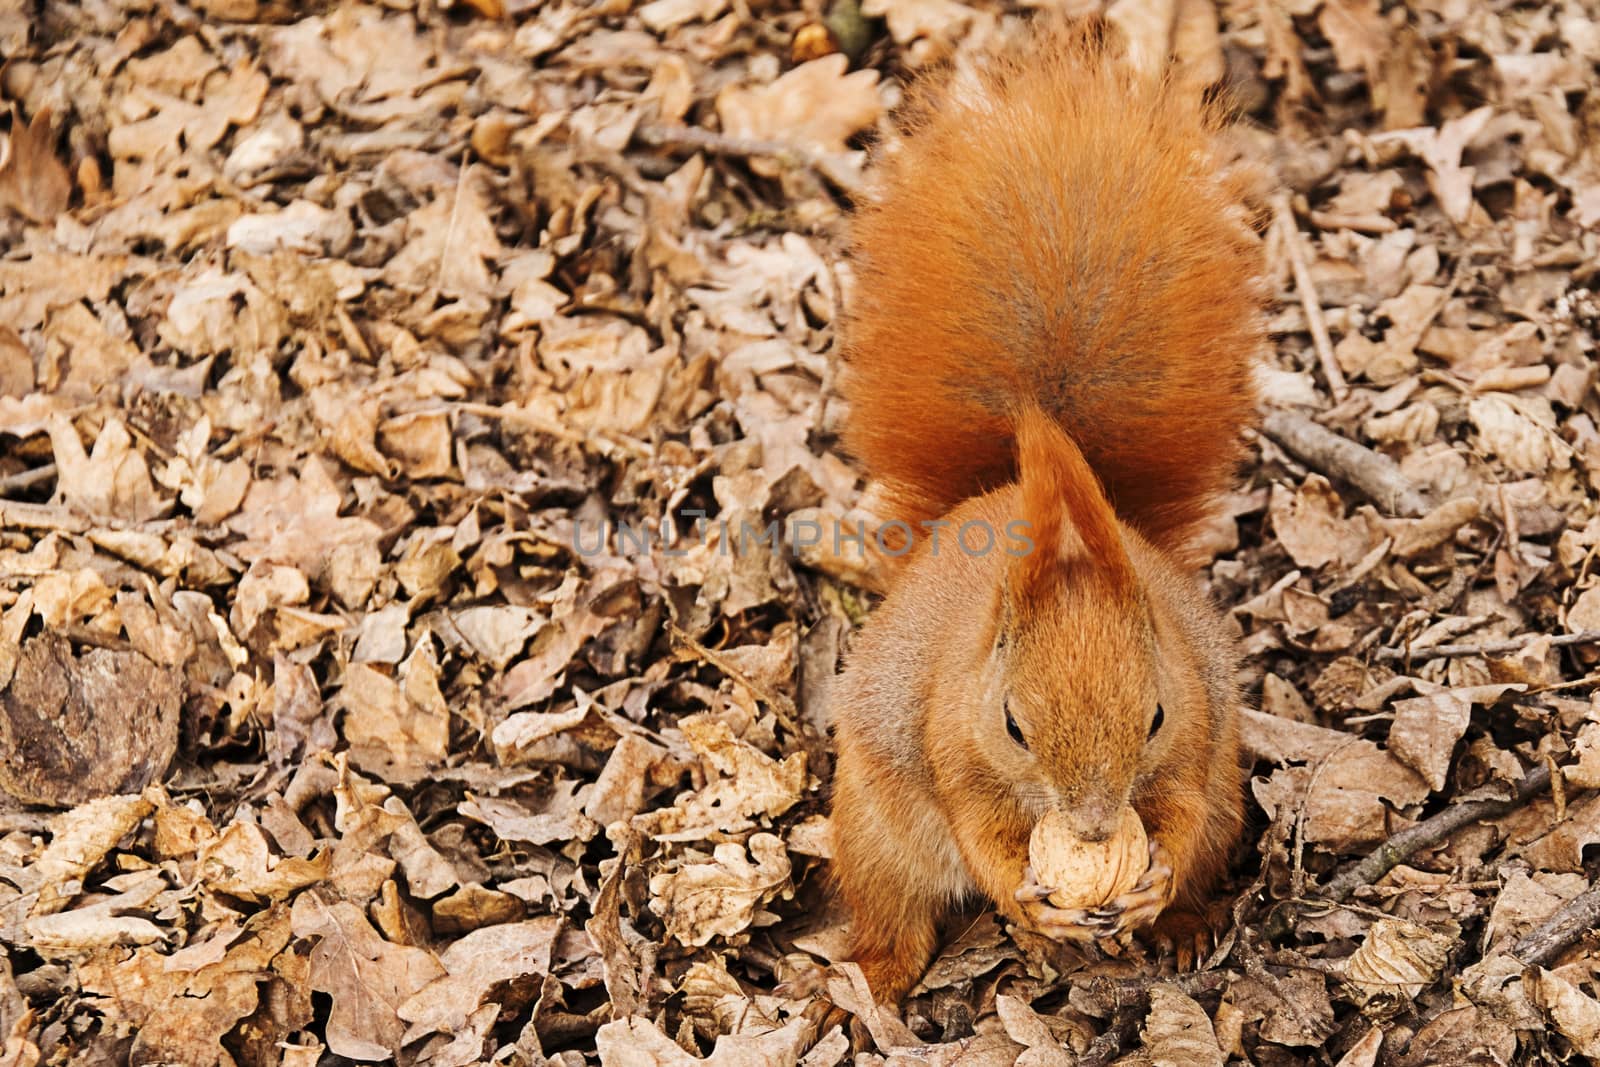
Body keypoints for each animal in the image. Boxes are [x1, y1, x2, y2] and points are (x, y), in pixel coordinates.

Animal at [825, 24, 1260, 1011]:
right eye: (1014, 724)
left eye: (1155, 714)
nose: (1096, 829)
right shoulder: (951, 736)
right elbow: (978, 826)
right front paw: (1030, 893)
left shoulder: (1197, 731)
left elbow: (1177, 808)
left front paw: (1155, 880)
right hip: (872, 825)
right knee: (893, 906)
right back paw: (879, 972)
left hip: (1230, 799)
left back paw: (1183, 923)